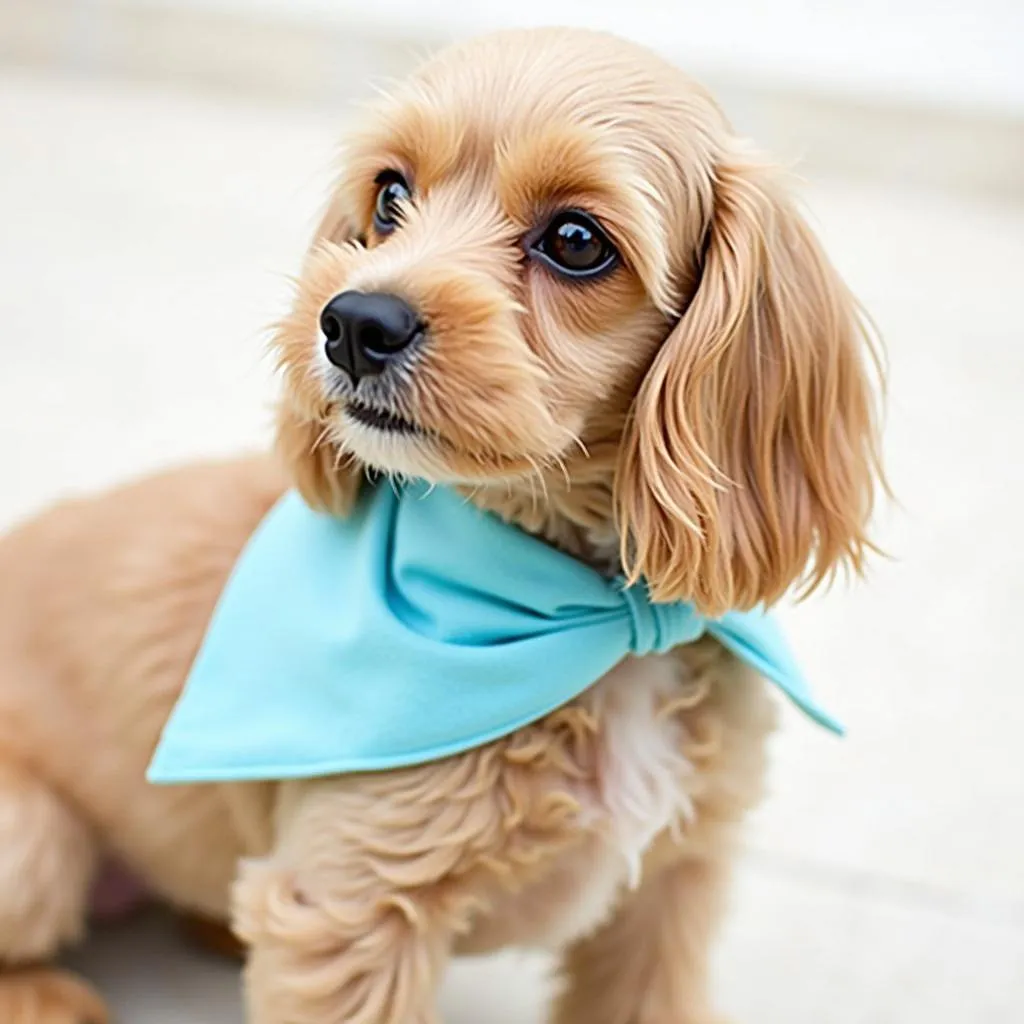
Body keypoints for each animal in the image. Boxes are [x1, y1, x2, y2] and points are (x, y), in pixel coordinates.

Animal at [0, 24, 880, 1024]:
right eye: (391, 194)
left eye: (576, 240)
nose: (352, 322)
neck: (591, 626)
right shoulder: (349, 914)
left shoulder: (669, 895)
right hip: (31, 842)